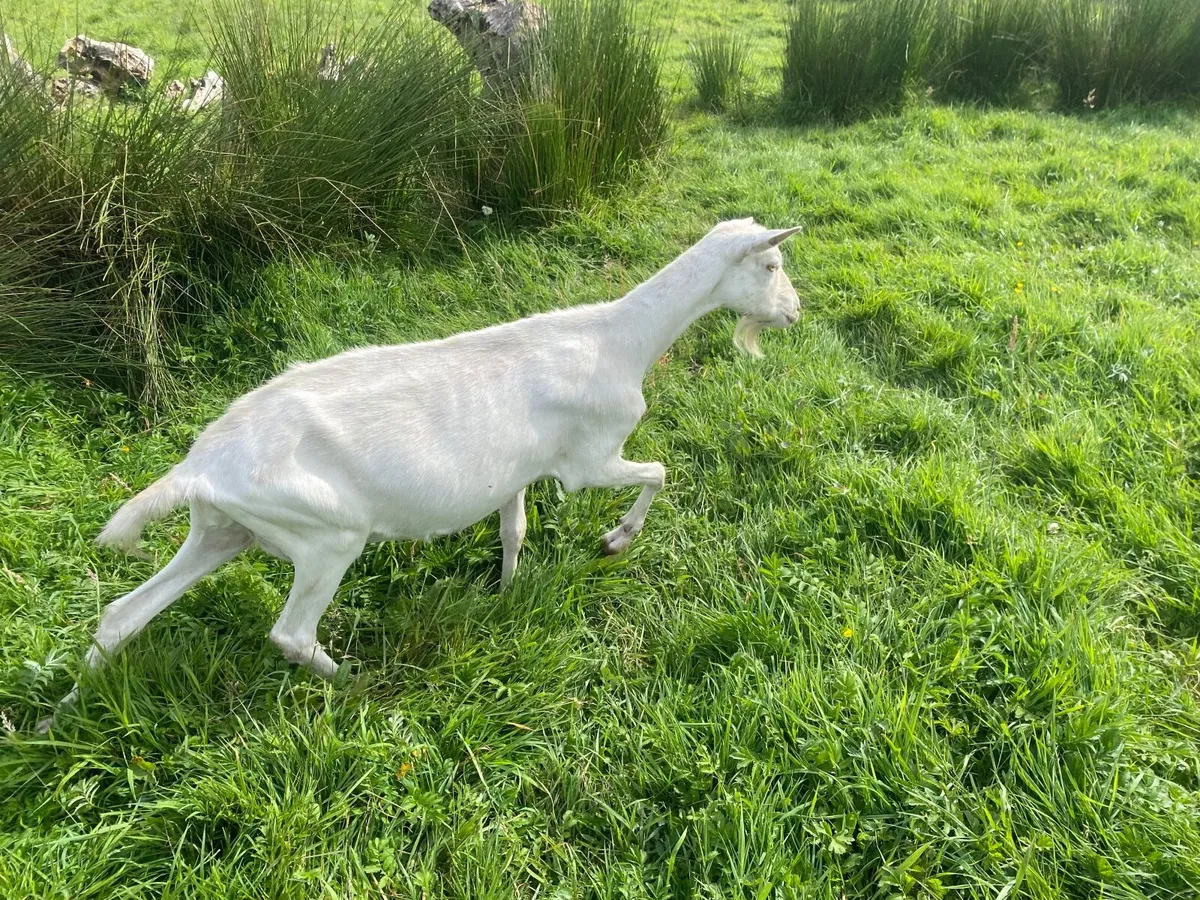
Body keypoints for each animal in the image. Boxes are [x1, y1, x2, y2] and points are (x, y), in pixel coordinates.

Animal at [38, 217, 802, 731]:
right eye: (769, 266)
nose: (795, 311)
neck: (620, 338)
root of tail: (201, 464)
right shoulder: (589, 458)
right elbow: (659, 472)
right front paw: (615, 541)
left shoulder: (514, 472)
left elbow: (515, 530)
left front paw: (506, 592)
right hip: (323, 534)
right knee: (291, 635)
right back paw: (355, 682)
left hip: (224, 531)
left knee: (122, 614)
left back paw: (59, 716)